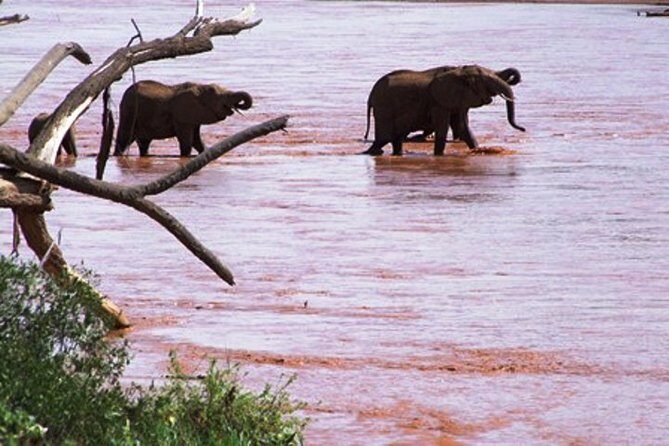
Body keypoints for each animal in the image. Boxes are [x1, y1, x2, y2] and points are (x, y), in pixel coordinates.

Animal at [114, 80, 253, 157]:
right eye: (218, 96)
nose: (238, 105)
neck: (199, 87)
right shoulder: (181, 116)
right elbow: (187, 141)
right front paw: (185, 157)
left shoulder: (194, 117)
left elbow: (197, 141)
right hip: (129, 112)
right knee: (124, 138)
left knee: (144, 143)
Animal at [362, 65, 522, 156]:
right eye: (486, 81)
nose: (523, 129)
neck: (459, 71)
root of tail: (370, 96)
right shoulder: (439, 103)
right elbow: (443, 128)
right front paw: (439, 156)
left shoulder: (458, 100)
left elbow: (463, 128)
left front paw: (476, 150)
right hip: (384, 108)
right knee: (384, 138)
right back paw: (373, 152)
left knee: (396, 138)